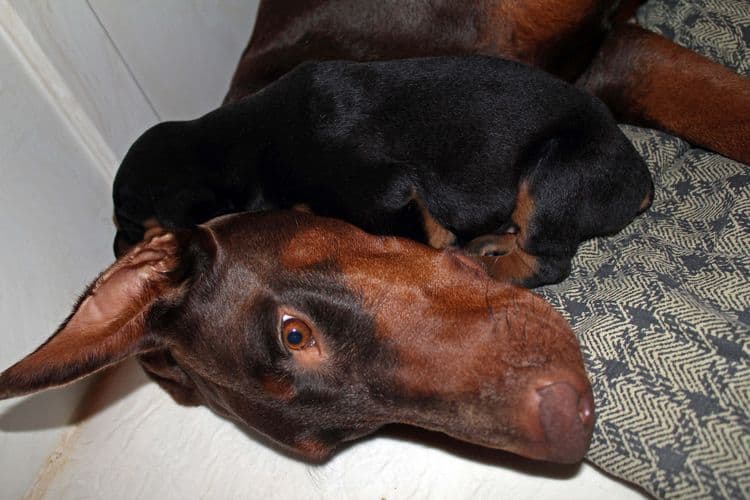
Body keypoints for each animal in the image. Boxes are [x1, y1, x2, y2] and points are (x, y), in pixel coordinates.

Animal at [111, 55, 652, 288]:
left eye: (129, 220)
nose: (116, 251)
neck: (244, 140)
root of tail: (642, 184)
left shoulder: (383, 191)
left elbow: (425, 235)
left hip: (556, 175)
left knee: (547, 261)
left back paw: (487, 265)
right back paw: (490, 244)